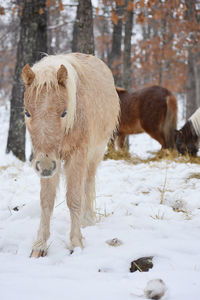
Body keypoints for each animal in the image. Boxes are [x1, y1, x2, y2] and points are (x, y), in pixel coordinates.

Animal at [21, 52, 119, 256]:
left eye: (64, 113)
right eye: (27, 113)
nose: (45, 165)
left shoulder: (77, 155)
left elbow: (74, 198)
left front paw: (76, 243)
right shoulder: (50, 162)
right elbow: (46, 201)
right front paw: (39, 245)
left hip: (94, 154)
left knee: (88, 184)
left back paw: (87, 220)